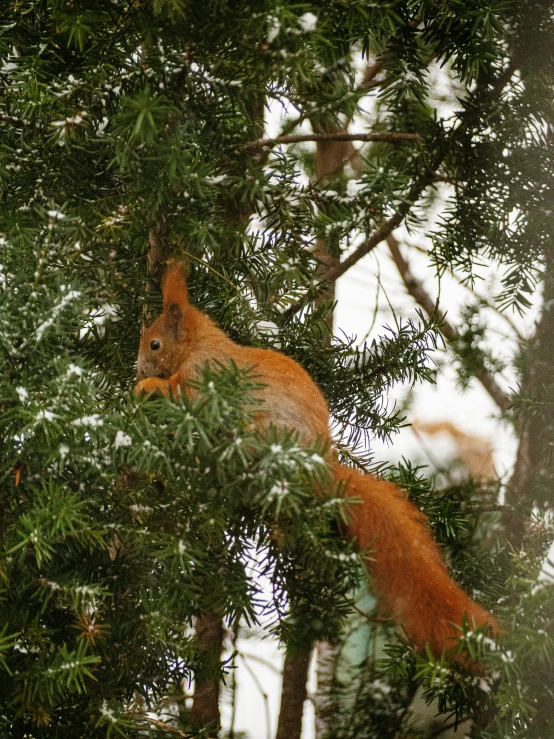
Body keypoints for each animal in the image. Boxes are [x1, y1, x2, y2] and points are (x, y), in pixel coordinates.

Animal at [134, 262, 496, 660]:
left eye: (154, 344)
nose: (139, 369)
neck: (198, 346)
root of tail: (323, 466)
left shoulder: (206, 380)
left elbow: (181, 394)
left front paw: (146, 388)